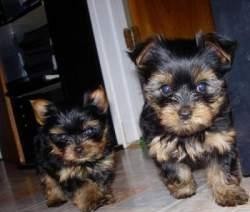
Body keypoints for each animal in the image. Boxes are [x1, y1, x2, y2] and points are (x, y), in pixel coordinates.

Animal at [130, 32, 249, 206]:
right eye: (166, 89)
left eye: (202, 86)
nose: (184, 113)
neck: (189, 132)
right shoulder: (162, 146)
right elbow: (176, 168)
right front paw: (184, 189)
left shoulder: (221, 139)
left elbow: (221, 168)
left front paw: (227, 192)